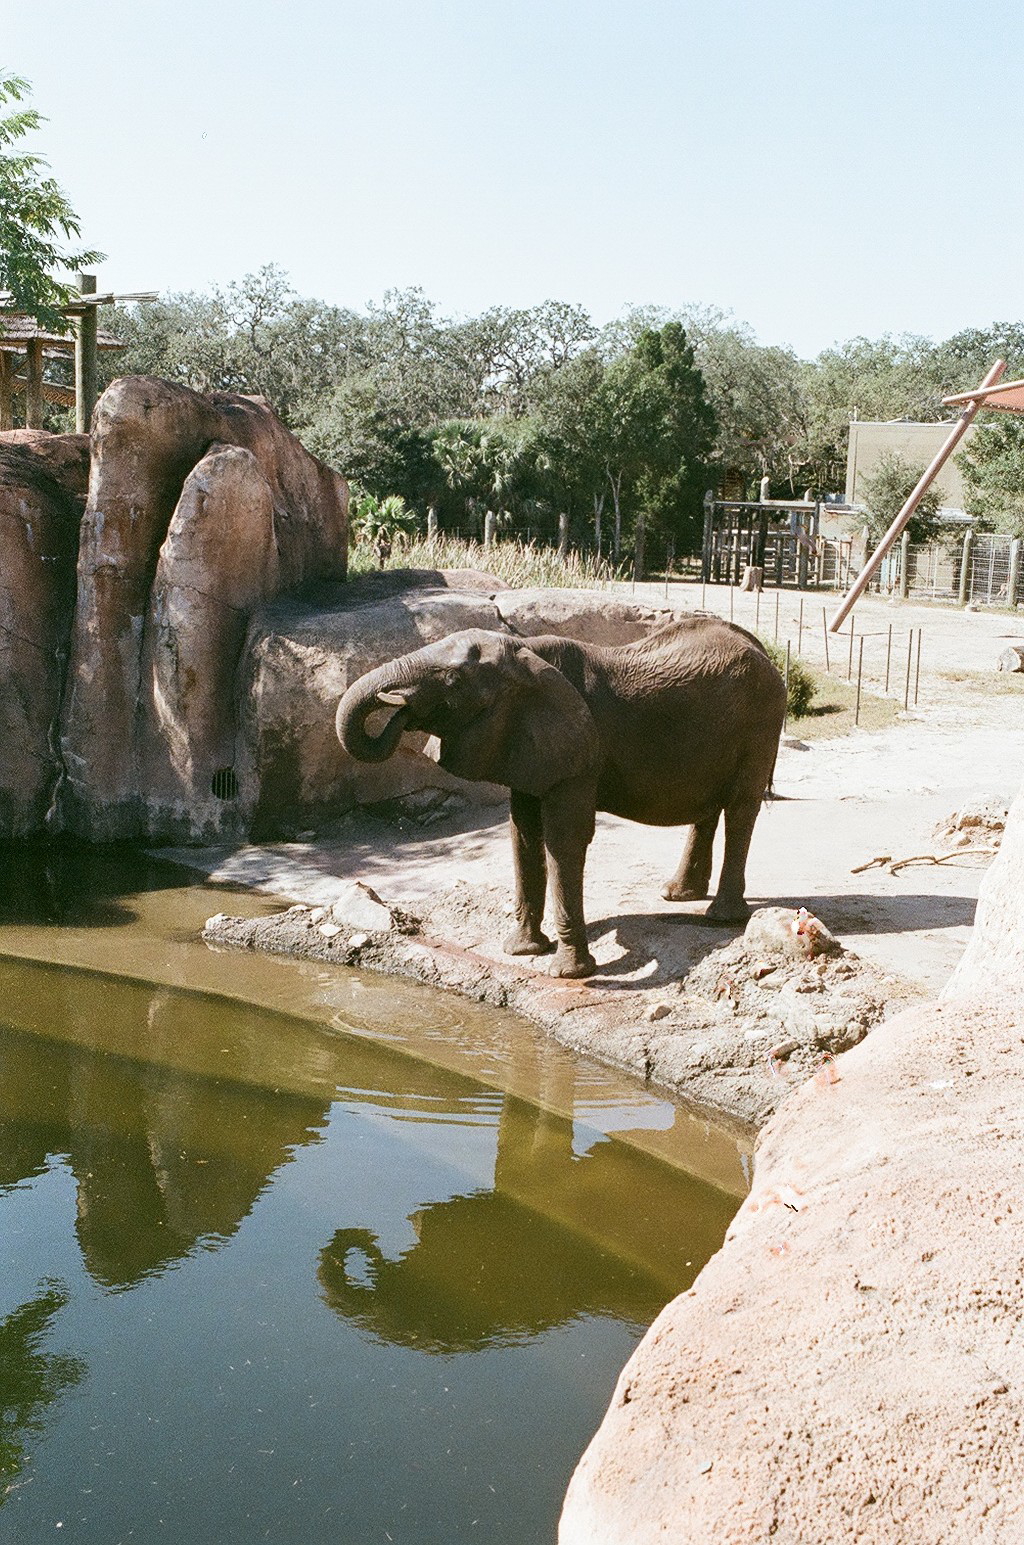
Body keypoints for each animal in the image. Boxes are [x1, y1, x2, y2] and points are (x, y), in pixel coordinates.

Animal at [335, 616, 787, 978]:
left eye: (453, 682)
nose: (399, 712)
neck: (526, 653)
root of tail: (763, 651)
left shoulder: (577, 754)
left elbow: (563, 839)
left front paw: (570, 973)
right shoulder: (524, 743)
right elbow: (522, 837)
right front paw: (522, 950)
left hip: (761, 722)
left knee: (740, 808)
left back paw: (721, 917)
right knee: (709, 806)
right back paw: (677, 895)